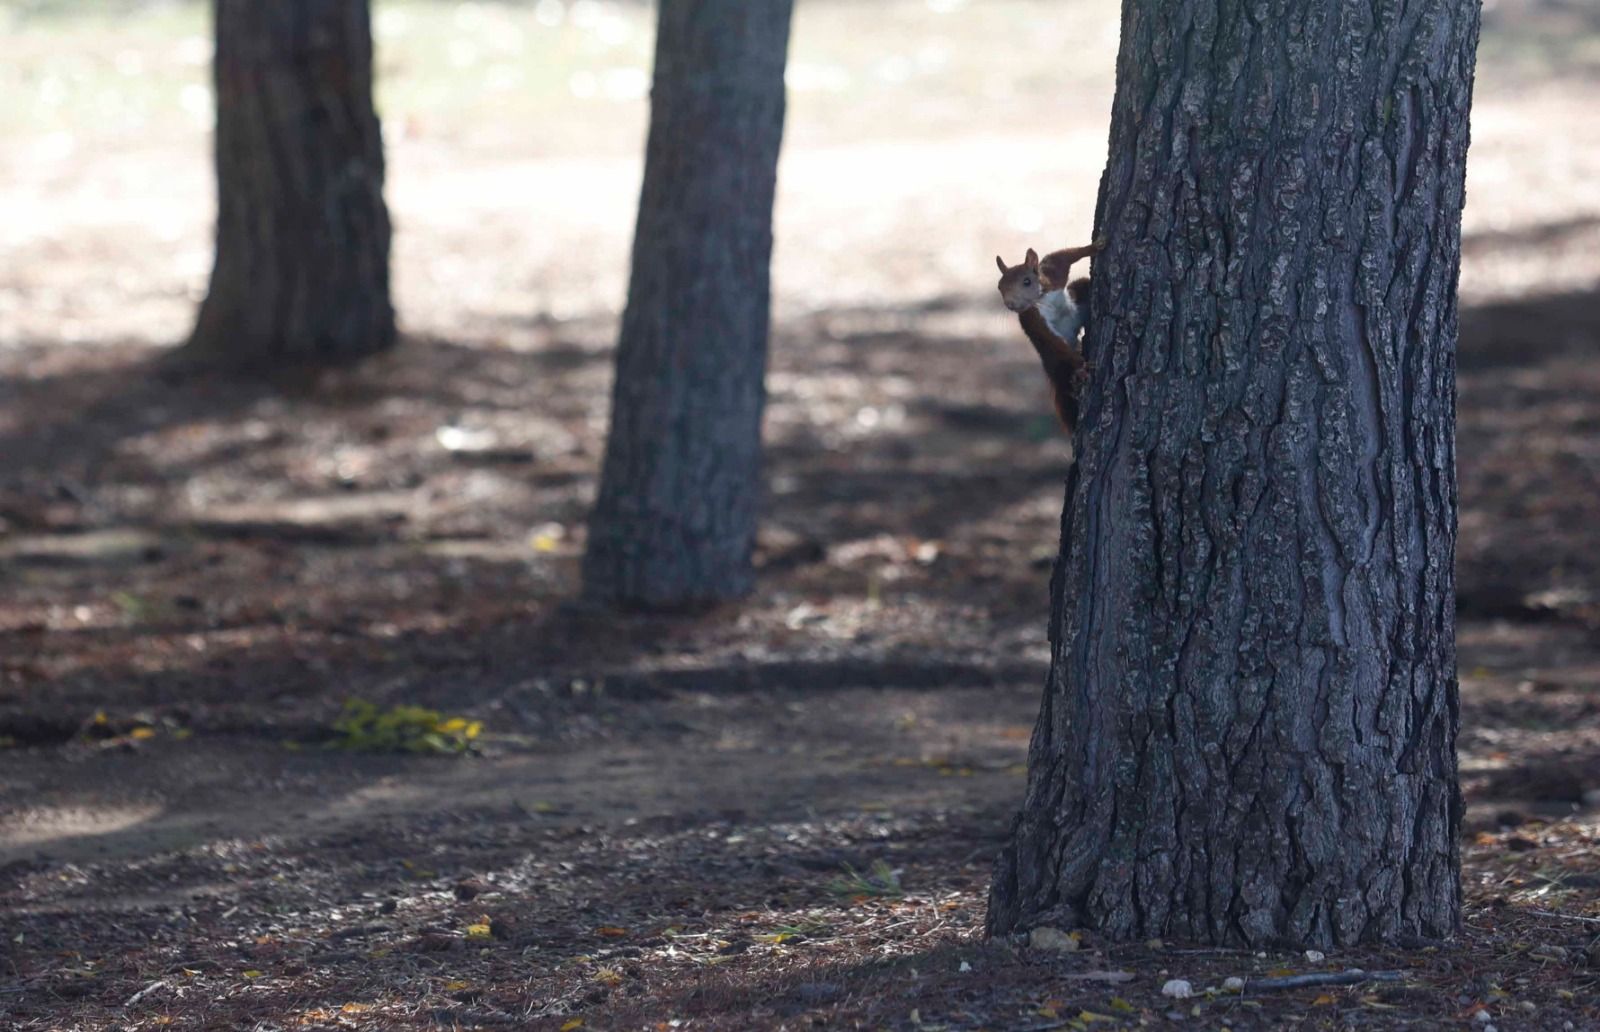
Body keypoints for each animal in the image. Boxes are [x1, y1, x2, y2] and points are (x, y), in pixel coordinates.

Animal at [992, 236, 1107, 432]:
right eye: (1000, 287)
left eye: (1027, 281)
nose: (1011, 304)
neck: (1041, 299)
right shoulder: (1036, 321)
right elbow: (1055, 342)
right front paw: (1082, 365)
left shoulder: (1052, 275)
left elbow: (1064, 256)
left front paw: (1094, 246)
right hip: (1057, 362)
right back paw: (1077, 375)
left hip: (1079, 294)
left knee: (1082, 285)